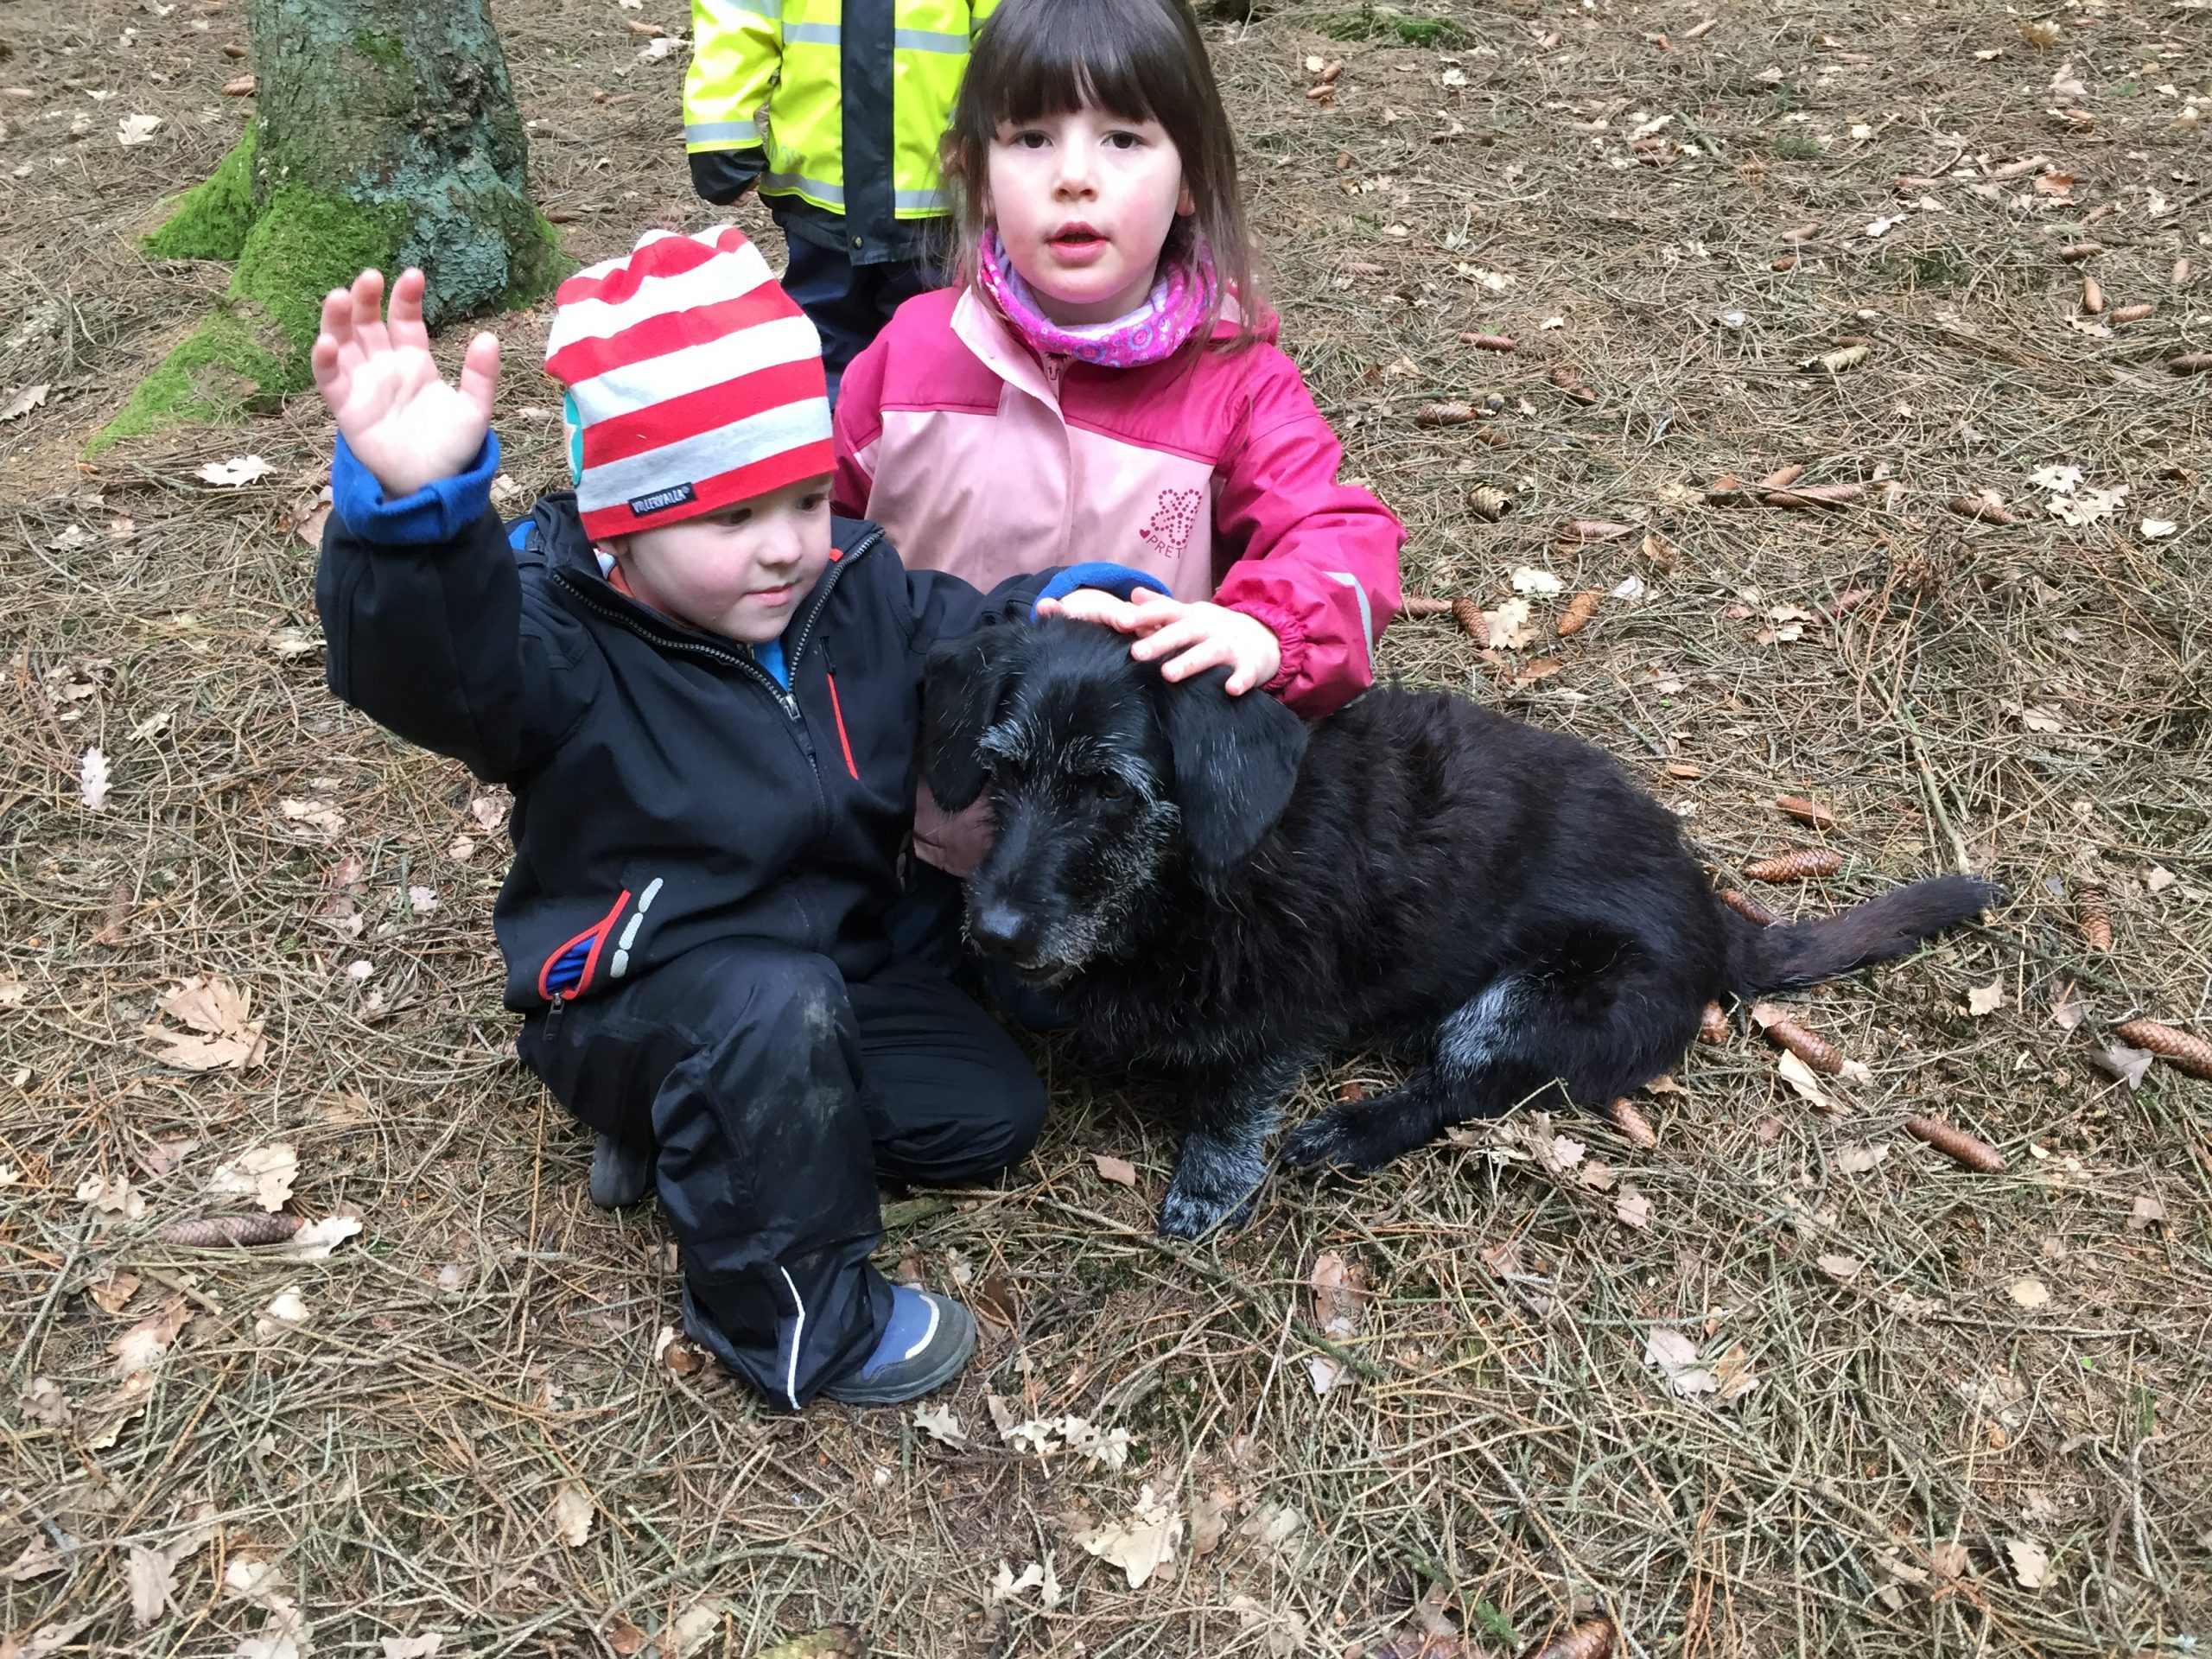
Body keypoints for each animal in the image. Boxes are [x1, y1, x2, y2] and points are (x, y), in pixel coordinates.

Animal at [923, 616, 1998, 1238]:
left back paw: (1353, 1131)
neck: (1191, 880)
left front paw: (1210, 1180)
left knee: (1460, 1092)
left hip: (1524, 1005)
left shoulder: (1287, 1009)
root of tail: (1713, 912)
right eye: (1003, 770)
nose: (994, 933)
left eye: (1108, 786)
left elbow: (1233, 1093)